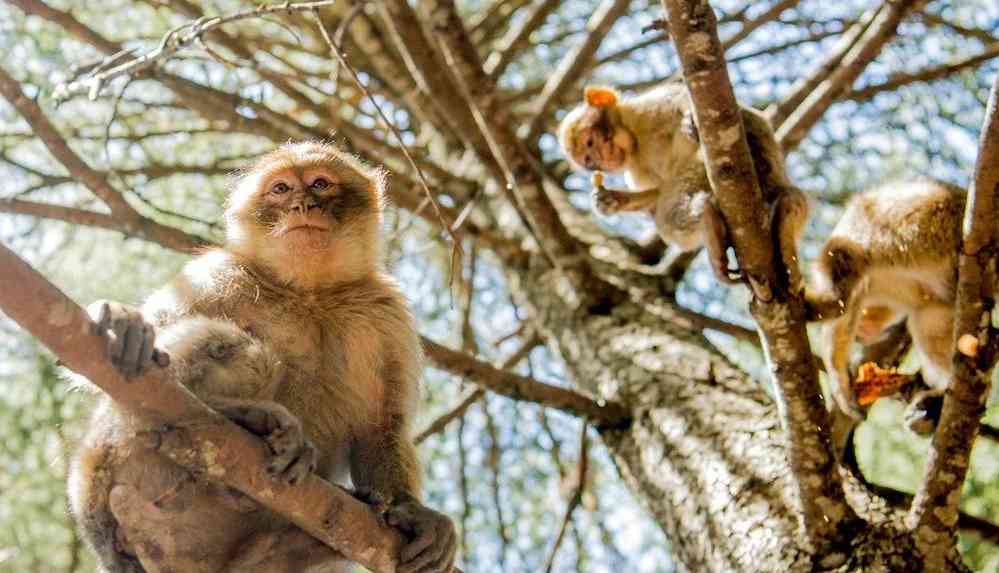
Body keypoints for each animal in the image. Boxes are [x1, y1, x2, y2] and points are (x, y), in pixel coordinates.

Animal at [69, 140, 458, 572]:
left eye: (320, 184)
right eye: (281, 189)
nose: (303, 205)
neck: (310, 292)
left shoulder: (388, 313)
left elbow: (383, 425)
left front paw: (417, 514)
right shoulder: (219, 273)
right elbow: (102, 370)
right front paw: (119, 319)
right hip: (113, 452)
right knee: (246, 356)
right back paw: (235, 415)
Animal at [560, 81, 808, 286]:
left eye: (590, 142)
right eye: (589, 160)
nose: (602, 159)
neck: (637, 140)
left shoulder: (652, 106)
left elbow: (738, 115)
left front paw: (692, 122)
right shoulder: (636, 170)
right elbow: (657, 192)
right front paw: (609, 200)